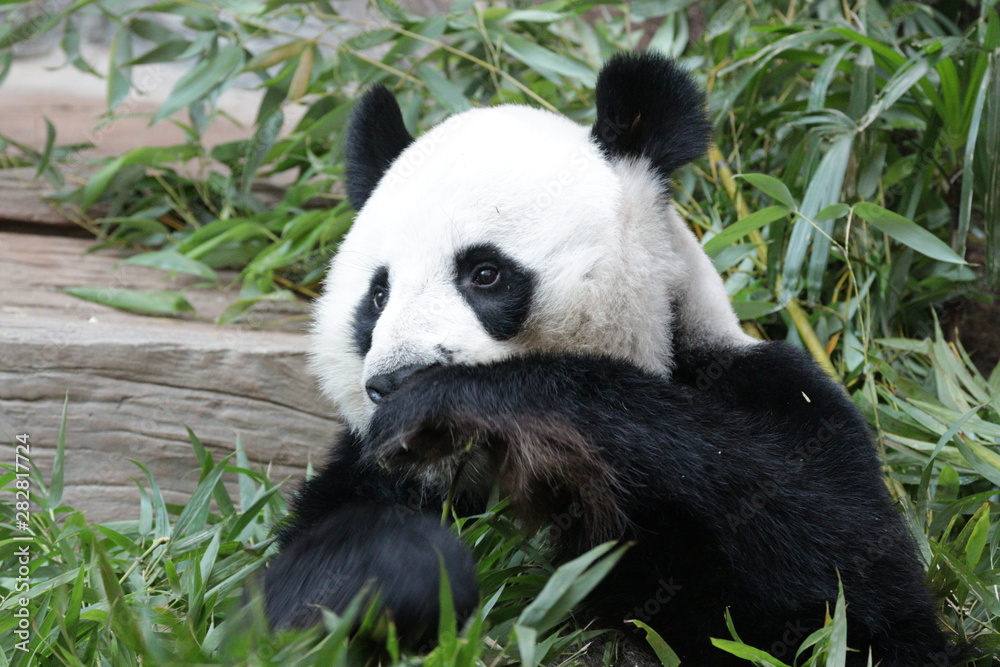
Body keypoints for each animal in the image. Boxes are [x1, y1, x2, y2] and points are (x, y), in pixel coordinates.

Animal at [262, 52, 962, 666]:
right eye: (377, 295)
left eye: (484, 273)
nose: (395, 381)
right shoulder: (370, 466)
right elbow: (283, 599)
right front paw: (404, 568)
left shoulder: (774, 395)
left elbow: (847, 581)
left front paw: (460, 398)